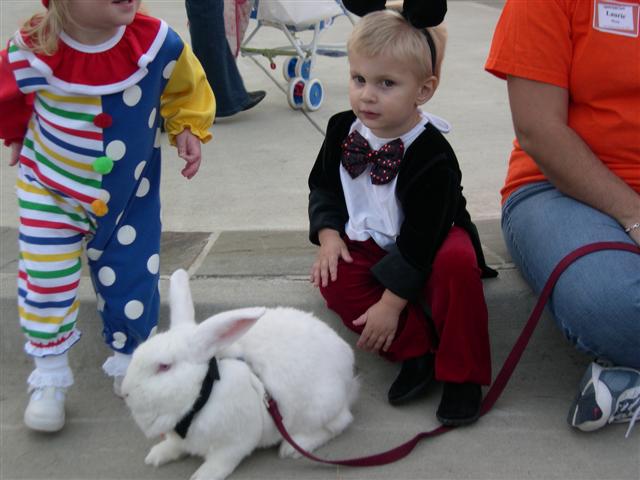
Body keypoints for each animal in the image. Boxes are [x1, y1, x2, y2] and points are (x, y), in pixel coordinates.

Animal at [121, 269, 358, 480]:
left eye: (164, 366)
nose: (125, 393)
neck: (204, 392)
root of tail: (348, 366)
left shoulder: (234, 443)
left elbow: (221, 462)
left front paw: (202, 476)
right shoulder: (181, 439)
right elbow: (174, 446)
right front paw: (156, 456)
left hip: (320, 408)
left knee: (338, 424)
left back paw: (292, 448)